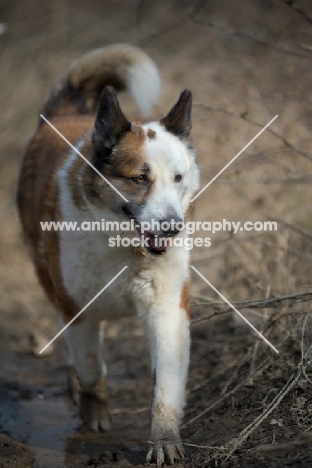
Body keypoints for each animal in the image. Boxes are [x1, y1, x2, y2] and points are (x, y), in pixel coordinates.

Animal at [17, 43, 200, 464]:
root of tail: (66, 114)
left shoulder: (168, 309)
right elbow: (91, 368)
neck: (123, 244)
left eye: (178, 178)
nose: (172, 227)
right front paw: (94, 416)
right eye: (139, 178)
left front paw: (164, 439)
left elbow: (165, 388)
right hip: (46, 277)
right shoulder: (76, 309)